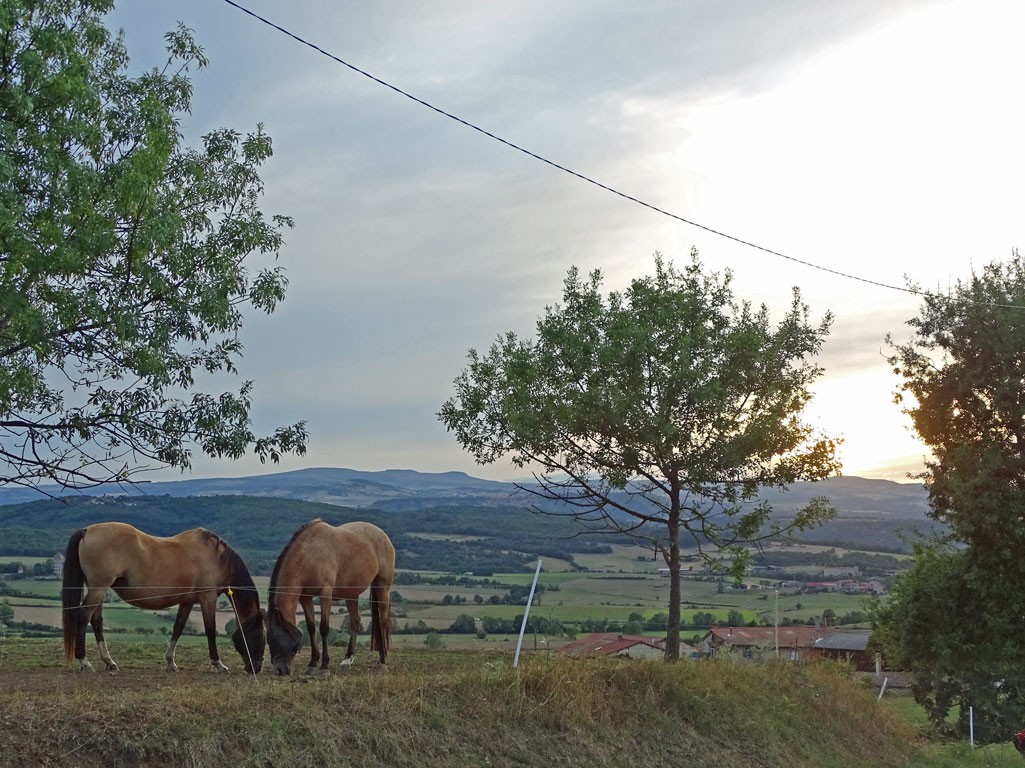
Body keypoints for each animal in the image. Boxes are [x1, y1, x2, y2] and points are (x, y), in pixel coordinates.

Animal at [60, 520, 264, 672]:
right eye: (260, 635)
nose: (255, 668)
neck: (216, 559)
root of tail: (86, 530)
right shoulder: (208, 597)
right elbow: (210, 629)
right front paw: (218, 664)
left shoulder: (187, 601)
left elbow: (178, 627)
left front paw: (170, 662)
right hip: (98, 588)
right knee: (83, 617)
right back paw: (85, 662)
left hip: (98, 590)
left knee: (96, 621)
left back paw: (109, 662)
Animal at [266, 518, 393, 672]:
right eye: (269, 640)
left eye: (279, 638)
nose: (279, 670)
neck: (310, 555)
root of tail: (383, 535)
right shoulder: (305, 598)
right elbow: (311, 627)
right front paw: (313, 662)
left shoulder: (325, 595)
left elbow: (324, 628)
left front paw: (324, 665)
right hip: (351, 594)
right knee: (355, 621)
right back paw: (348, 659)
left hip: (383, 587)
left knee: (383, 621)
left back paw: (382, 660)